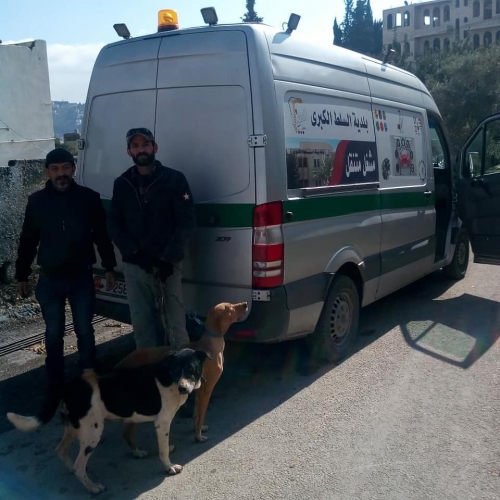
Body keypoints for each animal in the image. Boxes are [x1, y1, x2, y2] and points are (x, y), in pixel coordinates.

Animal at [7, 348, 210, 495]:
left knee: (61, 450)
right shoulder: (162, 422)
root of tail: (69, 385)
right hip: (93, 432)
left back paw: (73, 470)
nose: (183, 388)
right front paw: (169, 467)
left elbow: (163, 445)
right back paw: (93, 487)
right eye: (175, 370)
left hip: (75, 426)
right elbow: (162, 451)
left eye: (191, 368)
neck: (168, 378)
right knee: (80, 465)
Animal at [115, 301, 248, 446]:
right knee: (127, 434)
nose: (245, 304)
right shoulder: (207, 389)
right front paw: (198, 436)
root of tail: (121, 363)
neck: (210, 344)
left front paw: (197, 428)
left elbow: (197, 414)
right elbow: (201, 415)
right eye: (230, 308)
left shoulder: (198, 389)